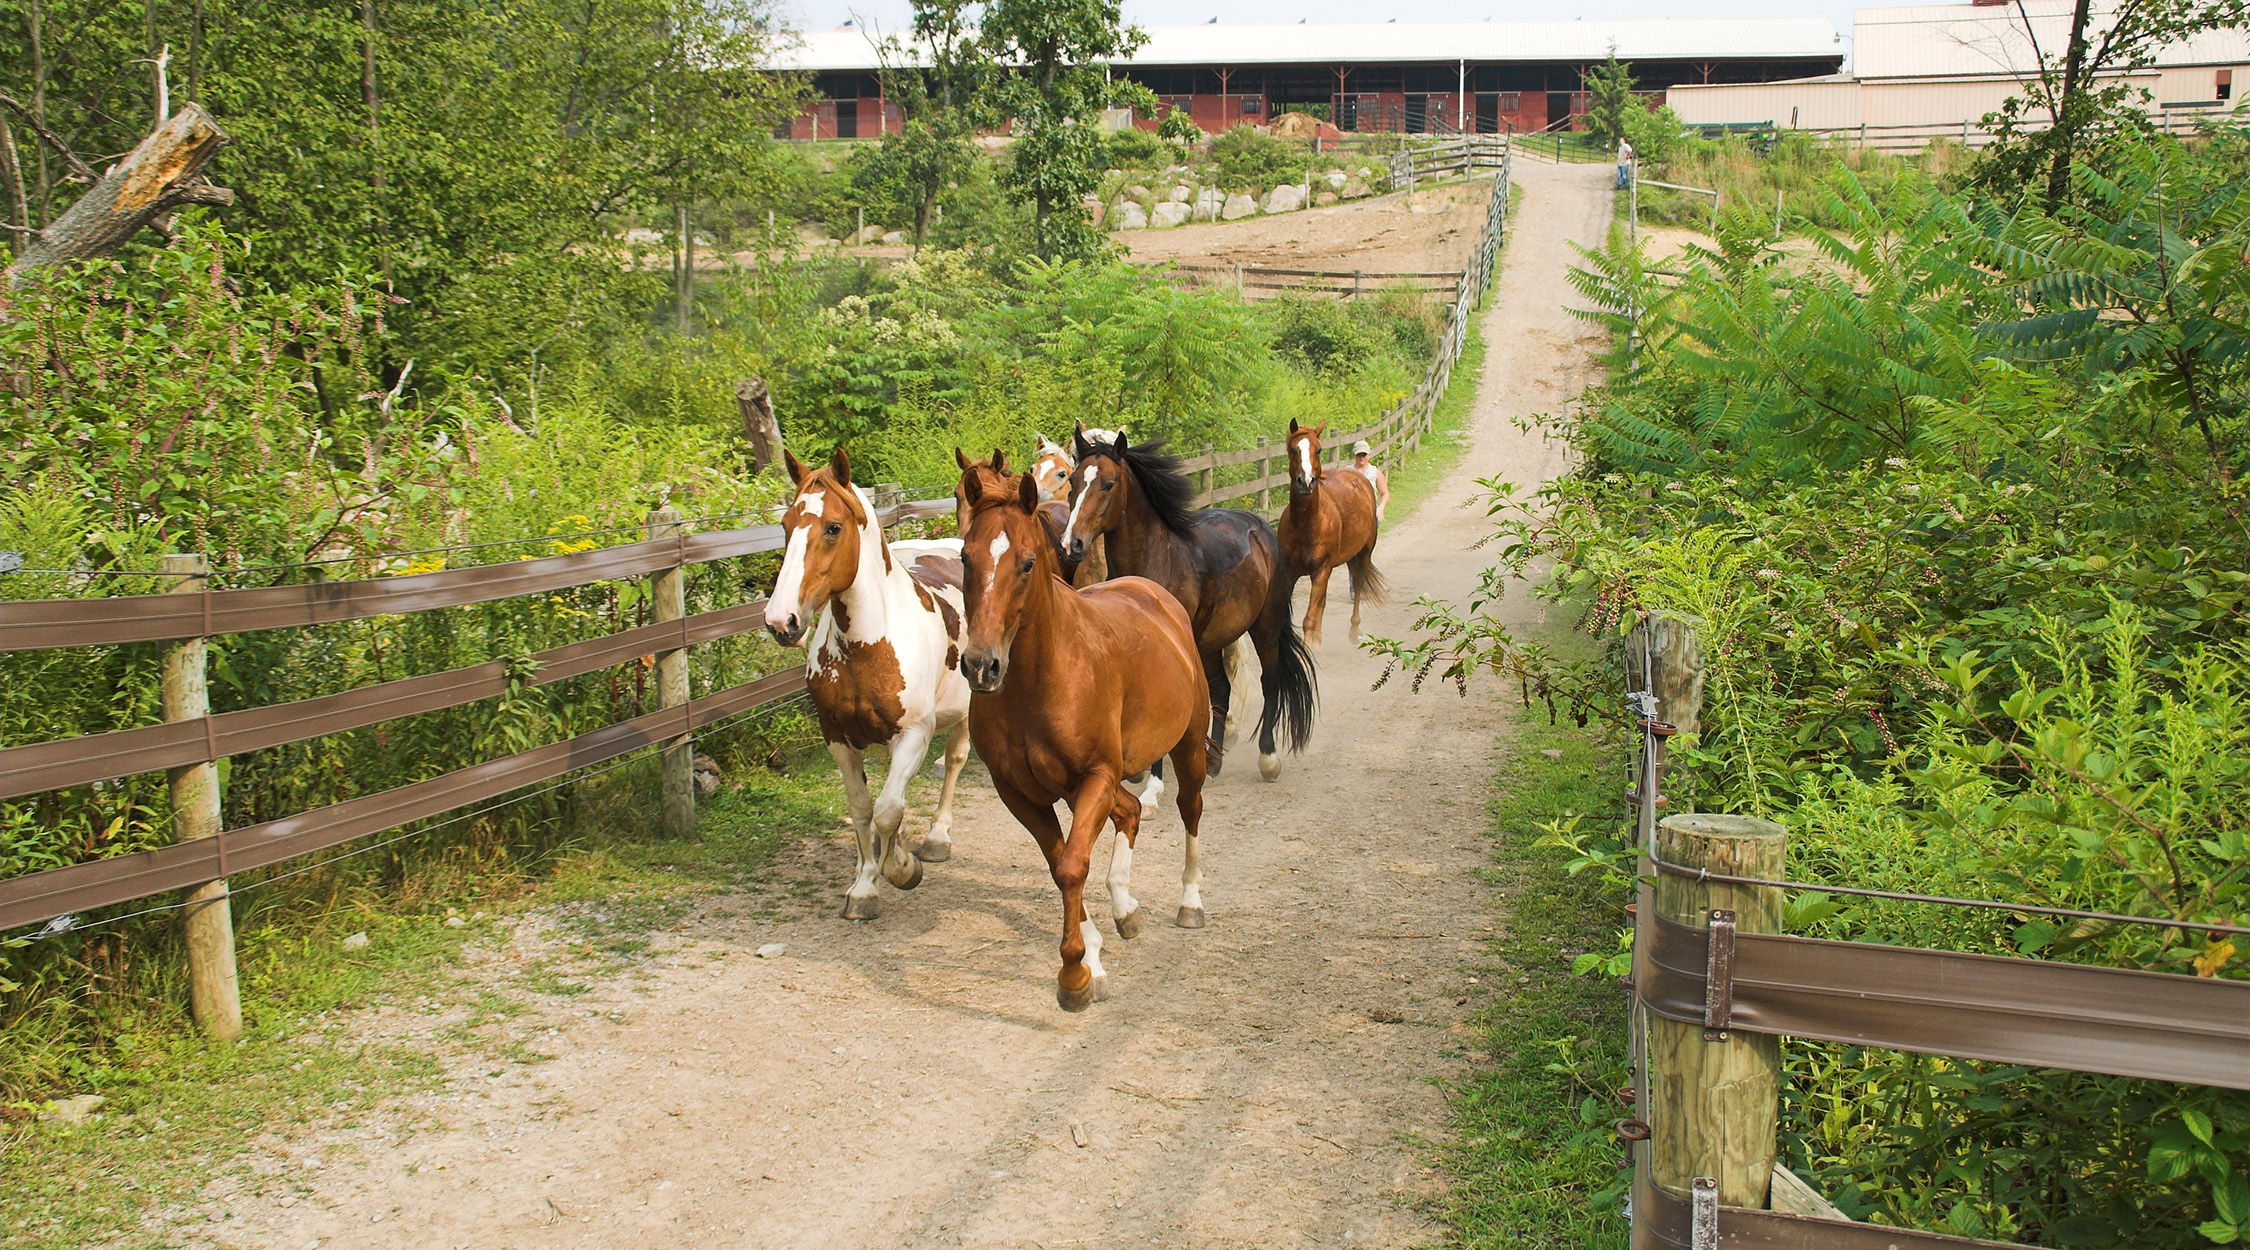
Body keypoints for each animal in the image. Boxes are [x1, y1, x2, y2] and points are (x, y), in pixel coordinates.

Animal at [769, 449, 972, 917]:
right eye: (785, 525)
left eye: (833, 527)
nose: (781, 621)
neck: (868, 646)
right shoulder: (838, 737)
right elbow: (864, 808)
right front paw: (864, 885)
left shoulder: (915, 734)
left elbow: (889, 809)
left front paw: (901, 867)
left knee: (955, 759)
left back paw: (937, 837)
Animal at [958, 463, 1224, 1011]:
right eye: (965, 557)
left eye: (1027, 562)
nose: (981, 665)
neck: (1042, 677)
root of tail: (1154, 594)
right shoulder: (1020, 793)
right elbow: (1060, 861)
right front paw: (1092, 961)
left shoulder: (1096, 775)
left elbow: (1071, 866)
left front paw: (1074, 975)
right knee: (1133, 810)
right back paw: (1125, 907)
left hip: (1186, 747)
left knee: (1189, 809)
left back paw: (1189, 900)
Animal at [1057, 429, 1314, 782]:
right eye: (1073, 480)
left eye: (1108, 484)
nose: (1071, 544)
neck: (1157, 560)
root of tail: (1260, 527)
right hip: (1210, 641)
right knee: (1221, 690)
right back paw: (1214, 761)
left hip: (1265, 626)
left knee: (1269, 681)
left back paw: (1268, 759)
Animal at [1278, 422, 1377, 647]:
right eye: (1293, 450)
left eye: (1318, 450)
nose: (1306, 482)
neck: (1306, 524)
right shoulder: (1289, 573)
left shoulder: (1321, 570)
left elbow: (1308, 618)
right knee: (1322, 603)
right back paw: (1318, 640)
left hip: (1363, 554)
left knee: (1358, 586)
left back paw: (1354, 630)